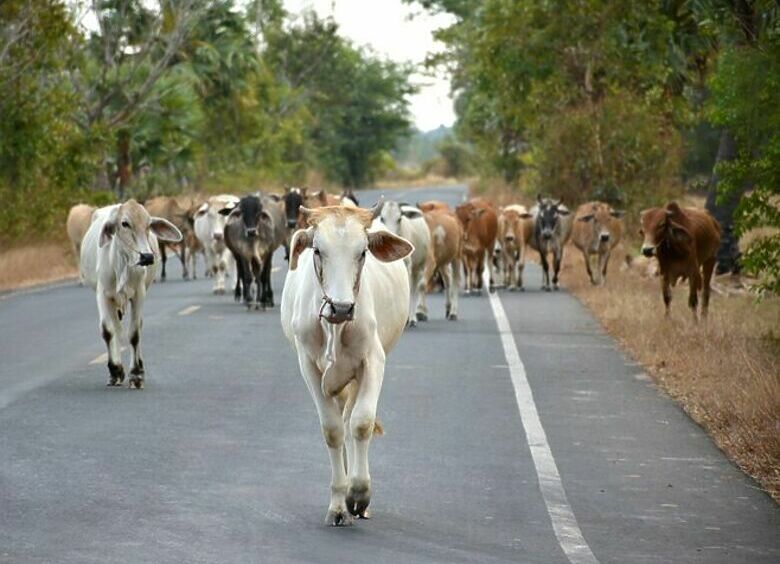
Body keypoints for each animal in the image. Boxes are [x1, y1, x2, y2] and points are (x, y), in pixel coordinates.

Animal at [80, 200, 181, 390]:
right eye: (125, 223)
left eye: (148, 225)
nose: (147, 256)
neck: (121, 263)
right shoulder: (102, 294)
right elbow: (108, 331)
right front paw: (115, 371)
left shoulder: (139, 294)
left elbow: (134, 333)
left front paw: (136, 375)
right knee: (116, 329)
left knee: (134, 327)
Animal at [280, 200, 414, 528]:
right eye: (317, 250)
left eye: (362, 252)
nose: (341, 307)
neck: (335, 327)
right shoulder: (309, 367)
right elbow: (332, 430)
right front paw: (339, 505)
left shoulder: (373, 360)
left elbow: (361, 423)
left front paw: (359, 495)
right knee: (340, 422)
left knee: (351, 417)